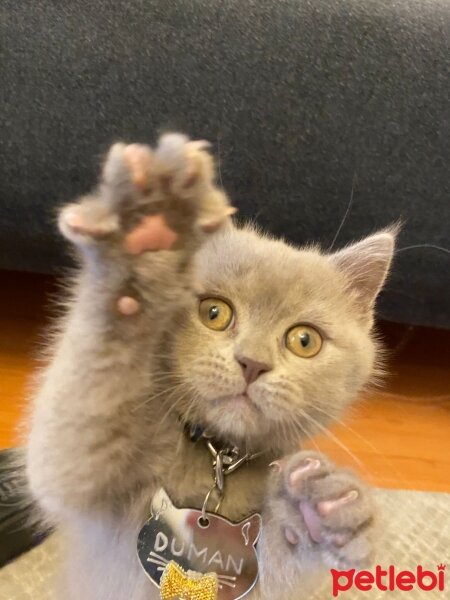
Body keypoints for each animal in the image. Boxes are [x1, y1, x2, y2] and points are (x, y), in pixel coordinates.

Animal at [26, 134, 396, 596]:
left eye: (304, 340)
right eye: (214, 313)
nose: (252, 363)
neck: (216, 457)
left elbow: (275, 571)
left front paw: (329, 505)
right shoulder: (84, 484)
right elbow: (76, 432)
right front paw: (146, 243)